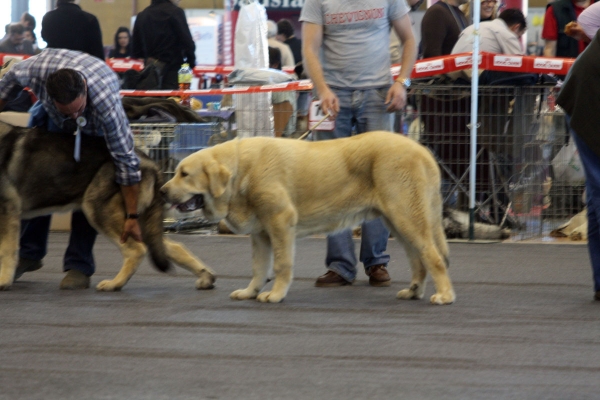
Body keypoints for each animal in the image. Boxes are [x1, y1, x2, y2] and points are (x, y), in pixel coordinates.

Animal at [161, 131, 454, 304]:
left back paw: (444, 295)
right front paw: (250, 292)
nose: (162, 191)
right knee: (418, 260)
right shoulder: (261, 233)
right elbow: (259, 268)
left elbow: (281, 265)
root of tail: (422, 150)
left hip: (406, 215)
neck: (240, 172)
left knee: (433, 257)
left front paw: (275, 294)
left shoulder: (280, 222)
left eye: (184, 174)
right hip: (397, 221)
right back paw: (413, 291)